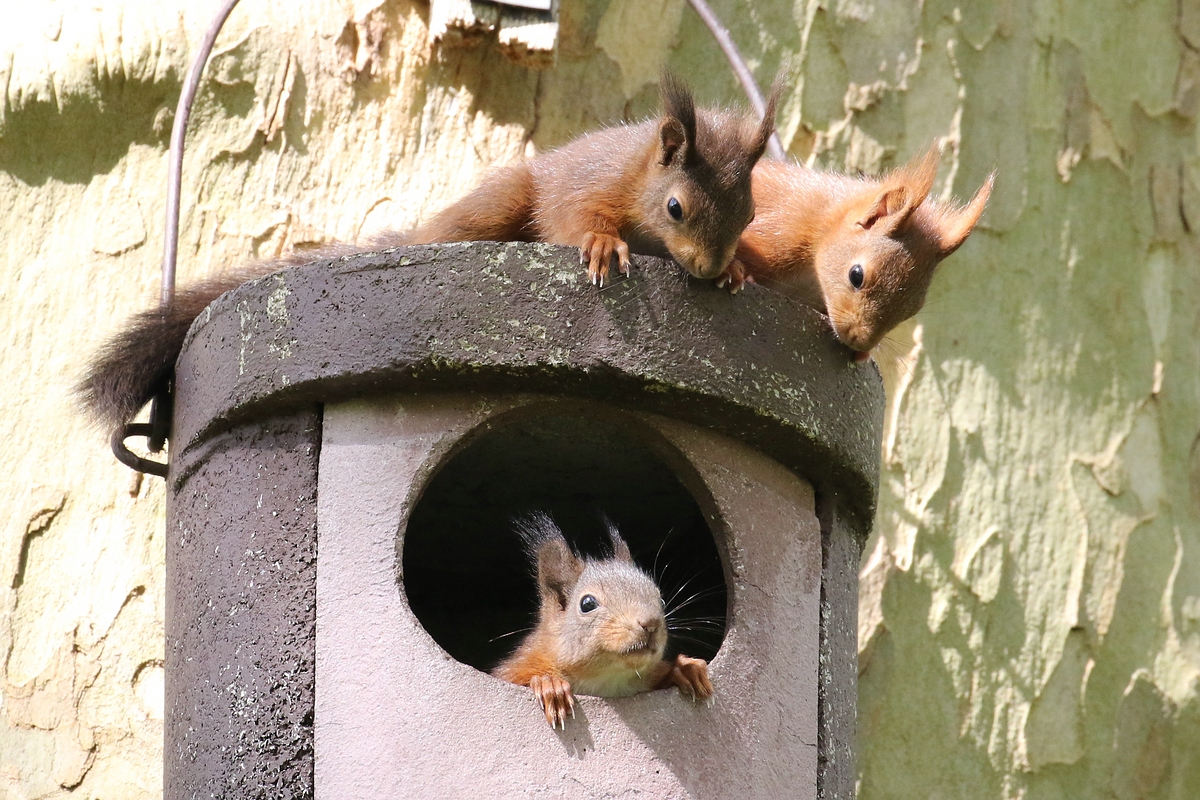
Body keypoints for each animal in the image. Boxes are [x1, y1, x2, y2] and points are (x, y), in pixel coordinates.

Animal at [489, 513, 710, 734]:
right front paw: (549, 684)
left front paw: (686, 668)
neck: (606, 680)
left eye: (661, 600)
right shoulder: (521, 664)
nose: (651, 623)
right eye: (587, 604)